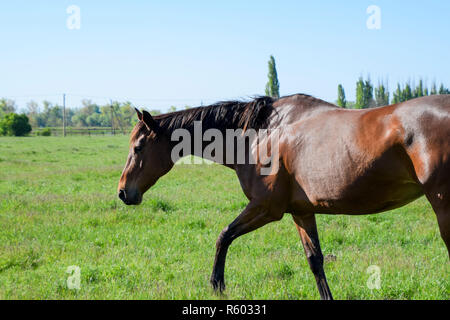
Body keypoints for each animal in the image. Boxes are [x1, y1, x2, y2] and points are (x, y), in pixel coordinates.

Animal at [117, 94, 450, 298]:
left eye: (138, 147)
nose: (122, 192)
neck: (259, 134)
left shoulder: (266, 208)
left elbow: (223, 236)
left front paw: (217, 286)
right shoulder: (301, 212)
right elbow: (315, 260)